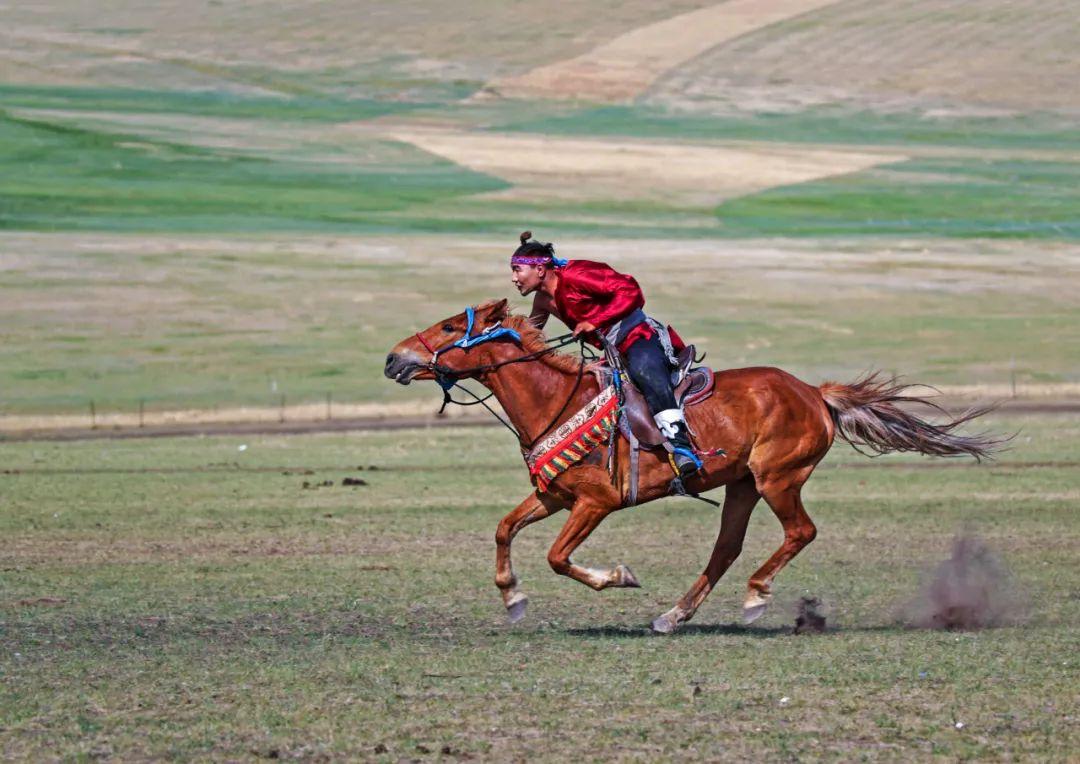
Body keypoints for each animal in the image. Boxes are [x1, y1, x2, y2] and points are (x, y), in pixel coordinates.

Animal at [384, 298, 997, 635]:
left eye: (448, 327)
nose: (393, 358)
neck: (554, 398)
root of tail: (814, 394)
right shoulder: (555, 496)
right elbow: (504, 528)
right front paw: (512, 599)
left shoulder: (596, 503)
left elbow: (559, 558)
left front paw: (618, 576)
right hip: (743, 485)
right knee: (725, 549)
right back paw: (673, 617)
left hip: (779, 478)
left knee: (799, 532)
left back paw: (754, 598)